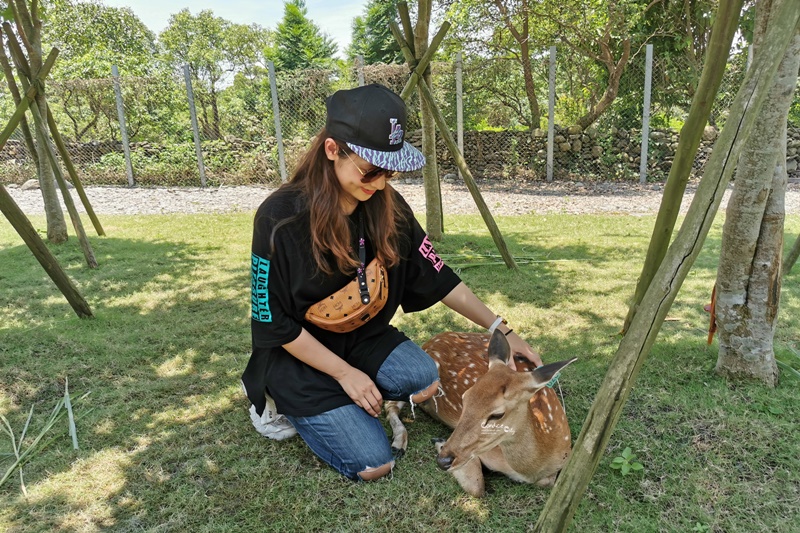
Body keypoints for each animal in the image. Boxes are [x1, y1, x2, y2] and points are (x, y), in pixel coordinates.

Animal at [386, 328, 576, 494]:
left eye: (497, 414)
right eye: (464, 398)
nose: (443, 460)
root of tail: (432, 340)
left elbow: (548, 482)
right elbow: (477, 487)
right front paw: (440, 443)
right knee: (390, 404)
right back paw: (398, 445)